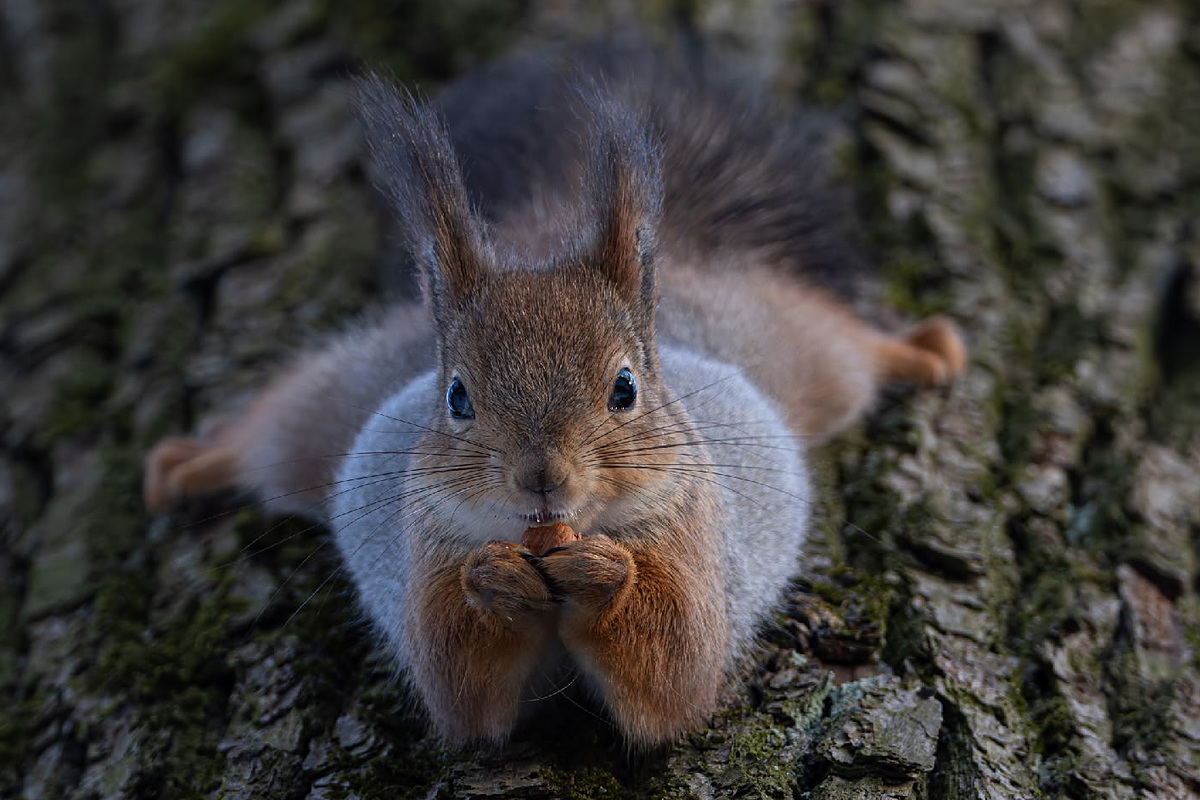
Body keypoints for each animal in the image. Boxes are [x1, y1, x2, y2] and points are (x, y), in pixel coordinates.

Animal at [143, 42, 965, 747]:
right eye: (458, 397)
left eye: (625, 388)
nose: (542, 479)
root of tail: (537, 243)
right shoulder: (427, 549)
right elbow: (458, 686)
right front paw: (493, 581)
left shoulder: (698, 541)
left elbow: (678, 670)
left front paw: (606, 579)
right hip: (330, 409)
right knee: (274, 425)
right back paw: (188, 464)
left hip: (787, 343)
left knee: (845, 346)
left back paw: (923, 350)